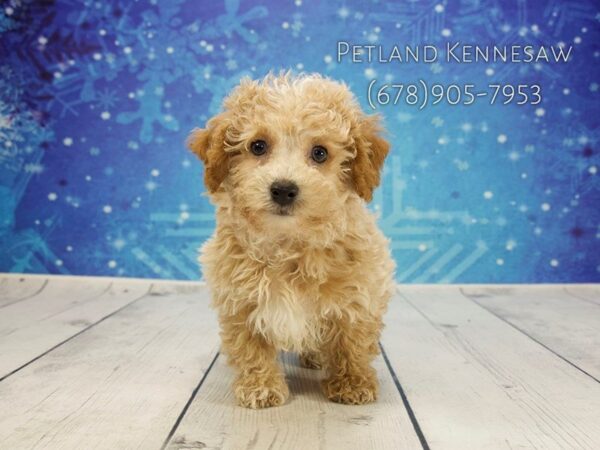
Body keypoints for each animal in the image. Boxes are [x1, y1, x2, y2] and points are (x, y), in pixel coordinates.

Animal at [188, 73, 394, 408]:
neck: (289, 244)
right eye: (257, 146)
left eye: (320, 152)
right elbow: (251, 347)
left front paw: (352, 383)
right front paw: (261, 387)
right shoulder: (239, 301)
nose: (283, 189)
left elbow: (351, 342)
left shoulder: (359, 295)